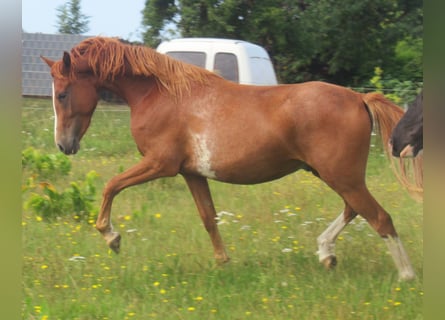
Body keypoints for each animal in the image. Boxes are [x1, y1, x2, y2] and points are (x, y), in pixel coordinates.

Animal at [41, 35, 412, 280]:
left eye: (62, 94)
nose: (63, 145)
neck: (161, 95)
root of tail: (359, 98)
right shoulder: (191, 173)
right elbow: (209, 217)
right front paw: (223, 262)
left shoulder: (160, 164)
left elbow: (111, 186)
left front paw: (112, 237)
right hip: (336, 175)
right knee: (355, 210)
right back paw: (327, 254)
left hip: (341, 176)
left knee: (380, 218)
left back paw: (405, 276)